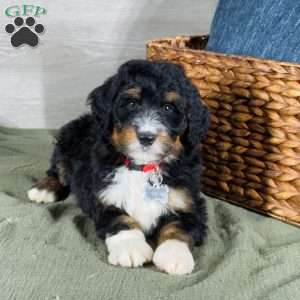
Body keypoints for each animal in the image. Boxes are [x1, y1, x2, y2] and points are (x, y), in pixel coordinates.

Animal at [28, 59, 211, 276]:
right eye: (131, 103)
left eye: (168, 108)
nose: (146, 137)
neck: (142, 167)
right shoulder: (102, 196)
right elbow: (120, 219)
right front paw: (130, 248)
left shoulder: (190, 201)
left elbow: (179, 225)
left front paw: (174, 255)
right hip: (67, 140)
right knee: (58, 170)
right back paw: (44, 189)